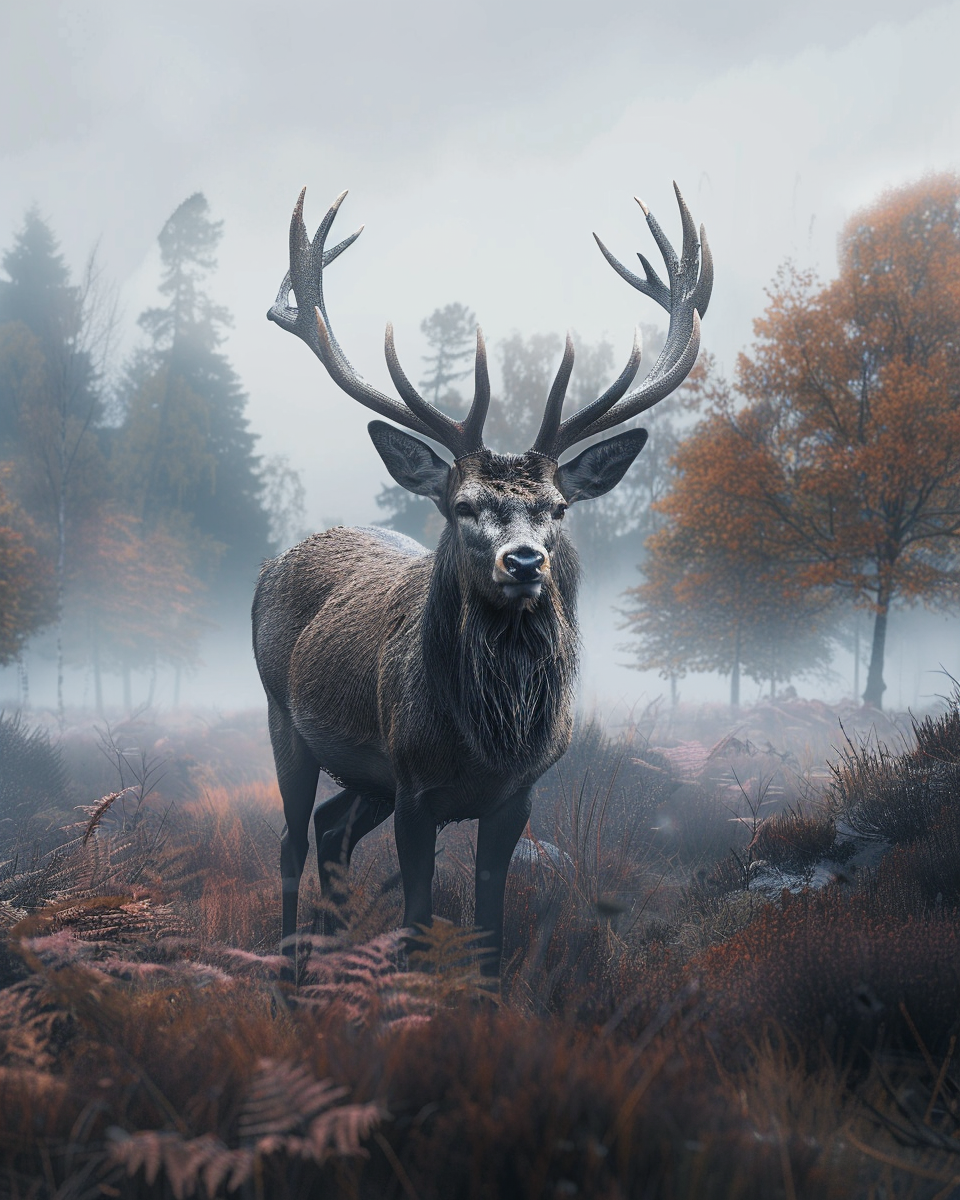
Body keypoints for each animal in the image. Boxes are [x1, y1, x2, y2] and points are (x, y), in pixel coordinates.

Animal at [253, 184, 711, 976]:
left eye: (558, 507)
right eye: (464, 505)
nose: (523, 561)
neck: (483, 742)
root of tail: (267, 570)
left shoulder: (515, 797)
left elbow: (492, 936)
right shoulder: (412, 785)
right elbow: (414, 926)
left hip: (364, 777)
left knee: (331, 828)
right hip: (286, 719)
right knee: (288, 842)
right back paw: (286, 978)